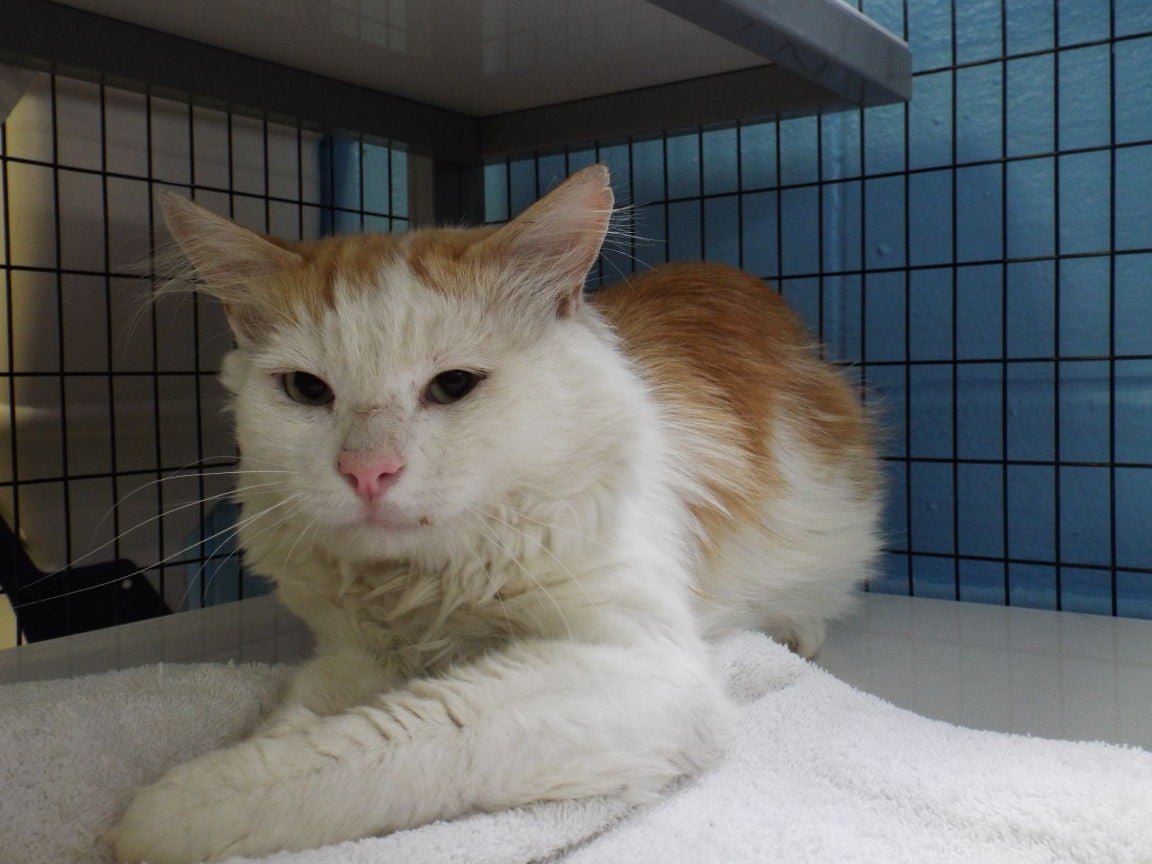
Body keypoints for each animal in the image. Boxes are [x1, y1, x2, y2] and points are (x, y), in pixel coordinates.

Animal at [112, 163, 875, 864]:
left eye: (453, 386)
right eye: (306, 390)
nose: (367, 471)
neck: (419, 585)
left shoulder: (642, 666)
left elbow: (378, 743)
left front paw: (168, 811)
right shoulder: (350, 654)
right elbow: (296, 721)